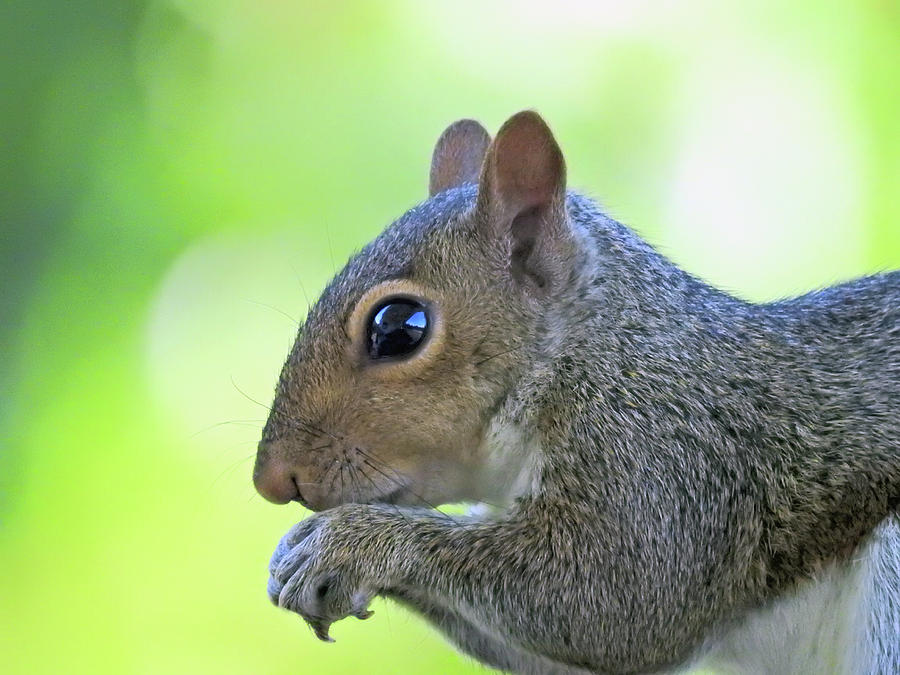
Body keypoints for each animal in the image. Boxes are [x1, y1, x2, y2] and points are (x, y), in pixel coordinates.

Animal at [253, 112, 900, 675]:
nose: (272, 481)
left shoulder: (666, 460)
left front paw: (349, 541)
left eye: (397, 328)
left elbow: (613, 599)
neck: (591, 355)